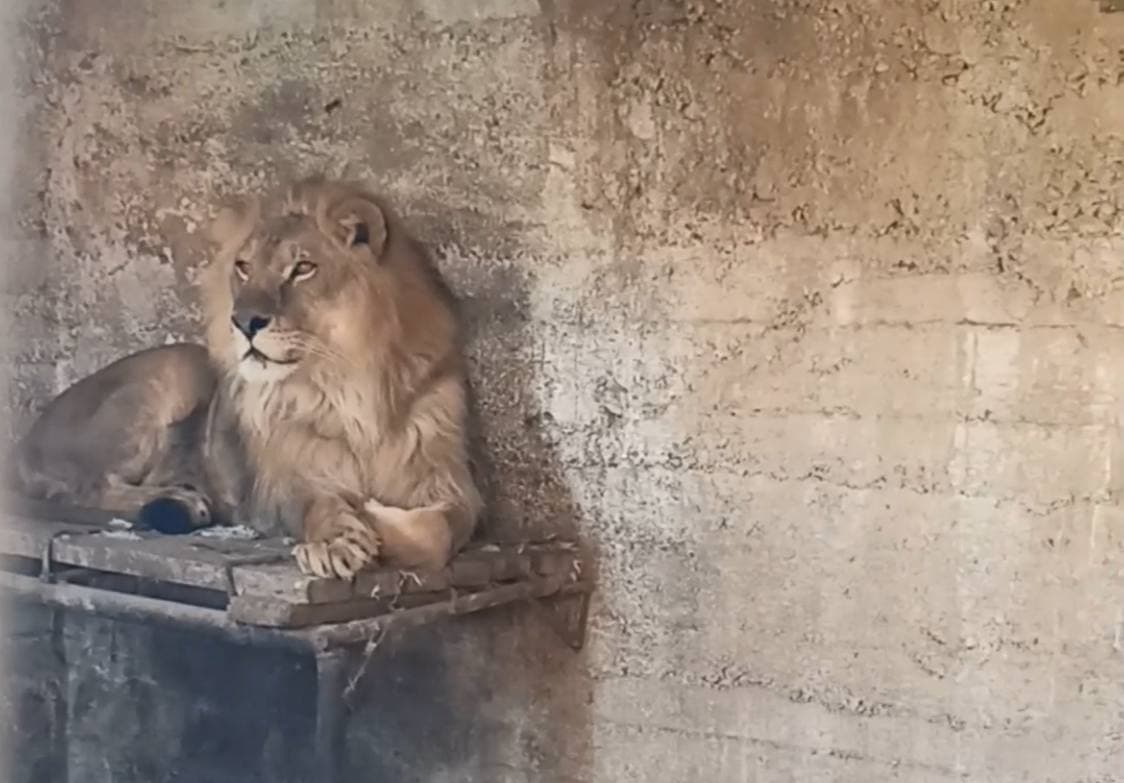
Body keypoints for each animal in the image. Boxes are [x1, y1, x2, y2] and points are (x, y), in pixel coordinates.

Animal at [12, 178, 483, 579]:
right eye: (242, 267)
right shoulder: (284, 482)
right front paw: (335, 542)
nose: (243, 321)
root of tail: (27, 438)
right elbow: (317, 505)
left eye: (303, 268)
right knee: (83, 489)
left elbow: (440, 532)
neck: (345, 382)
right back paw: (180, 500)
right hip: (175, 374)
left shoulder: (453, 485)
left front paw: (373, 517)